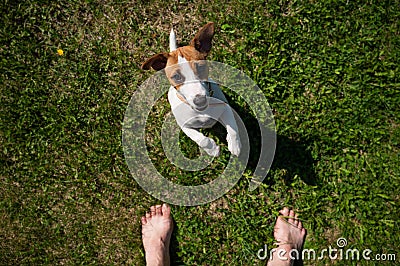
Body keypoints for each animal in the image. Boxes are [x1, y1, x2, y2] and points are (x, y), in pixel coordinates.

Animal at [141, 22, 241, 157]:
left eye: (200, 67)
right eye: (176, 77)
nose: (200, 101)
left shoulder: (225, 107)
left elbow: (233, 127)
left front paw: (235, 145)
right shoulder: (185, 127)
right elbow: (201, 139)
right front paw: (213, 149)